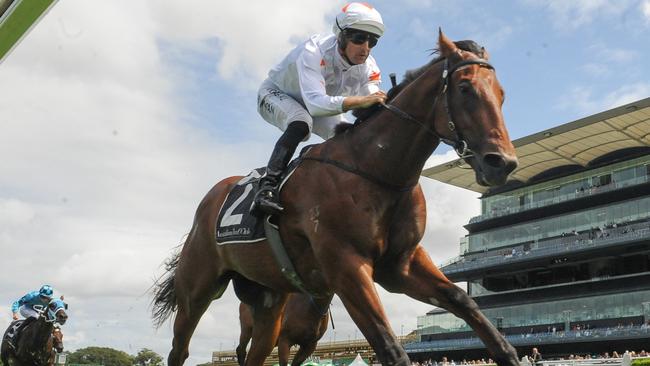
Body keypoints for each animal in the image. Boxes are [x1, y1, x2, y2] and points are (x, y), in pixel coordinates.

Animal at [151, 31, 516, 366]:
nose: (502, 163)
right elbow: (390, 347)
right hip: (197, 290)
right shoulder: (347, 266)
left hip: (268, 300)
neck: (376, 169)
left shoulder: (400, 266)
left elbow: (466, 303)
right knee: (180, 349)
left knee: (255, 353)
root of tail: (209, 201)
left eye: (502, 93)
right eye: (465, 88)